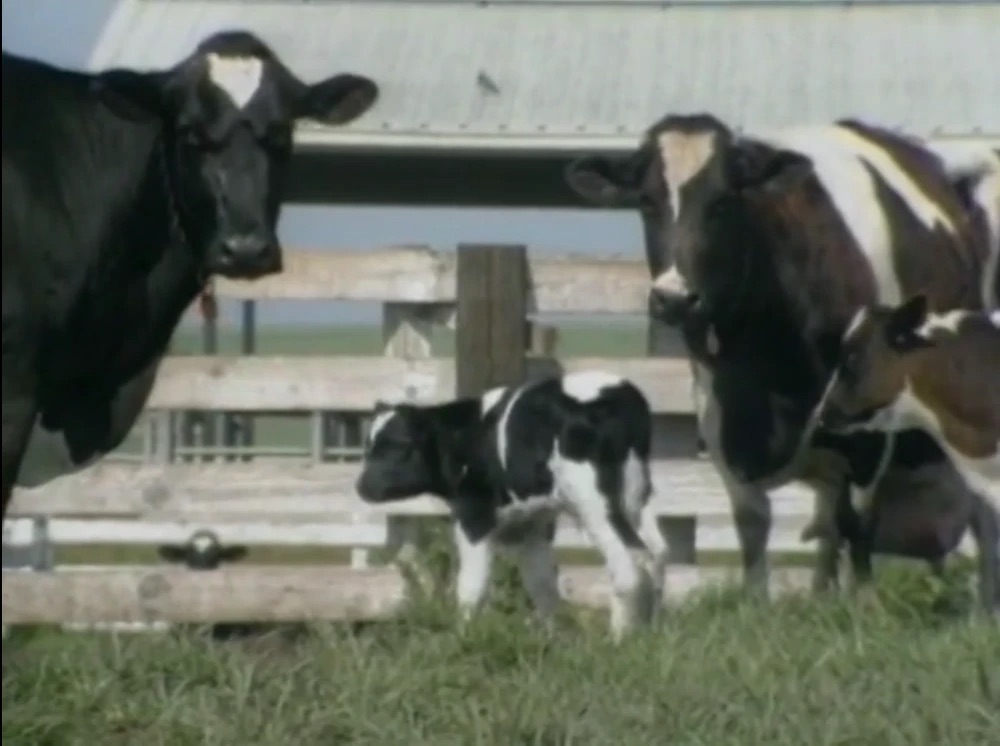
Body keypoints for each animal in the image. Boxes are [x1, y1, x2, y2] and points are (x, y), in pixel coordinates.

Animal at [354, 371, 669, 640]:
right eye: (368, 446)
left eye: (398, 445)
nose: (361, 486)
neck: (469, 437)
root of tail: (619, 394)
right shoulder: (535, 521)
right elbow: (541, 582)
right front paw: (550, 638)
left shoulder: (474, 516)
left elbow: (472, 585)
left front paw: (462, 636)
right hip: (638, 494)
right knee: (657, 551)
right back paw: (649, 632)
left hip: (593, 500)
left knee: (630, 559)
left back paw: (618, 638)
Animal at [563, 113, 995, 598]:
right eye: (646, 202)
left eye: (723, 201)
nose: (674, 298)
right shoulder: (720, 418)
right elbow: (754, 523)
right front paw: (757, 601)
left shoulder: (870, 418)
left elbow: (859, 519)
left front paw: (864, 599)